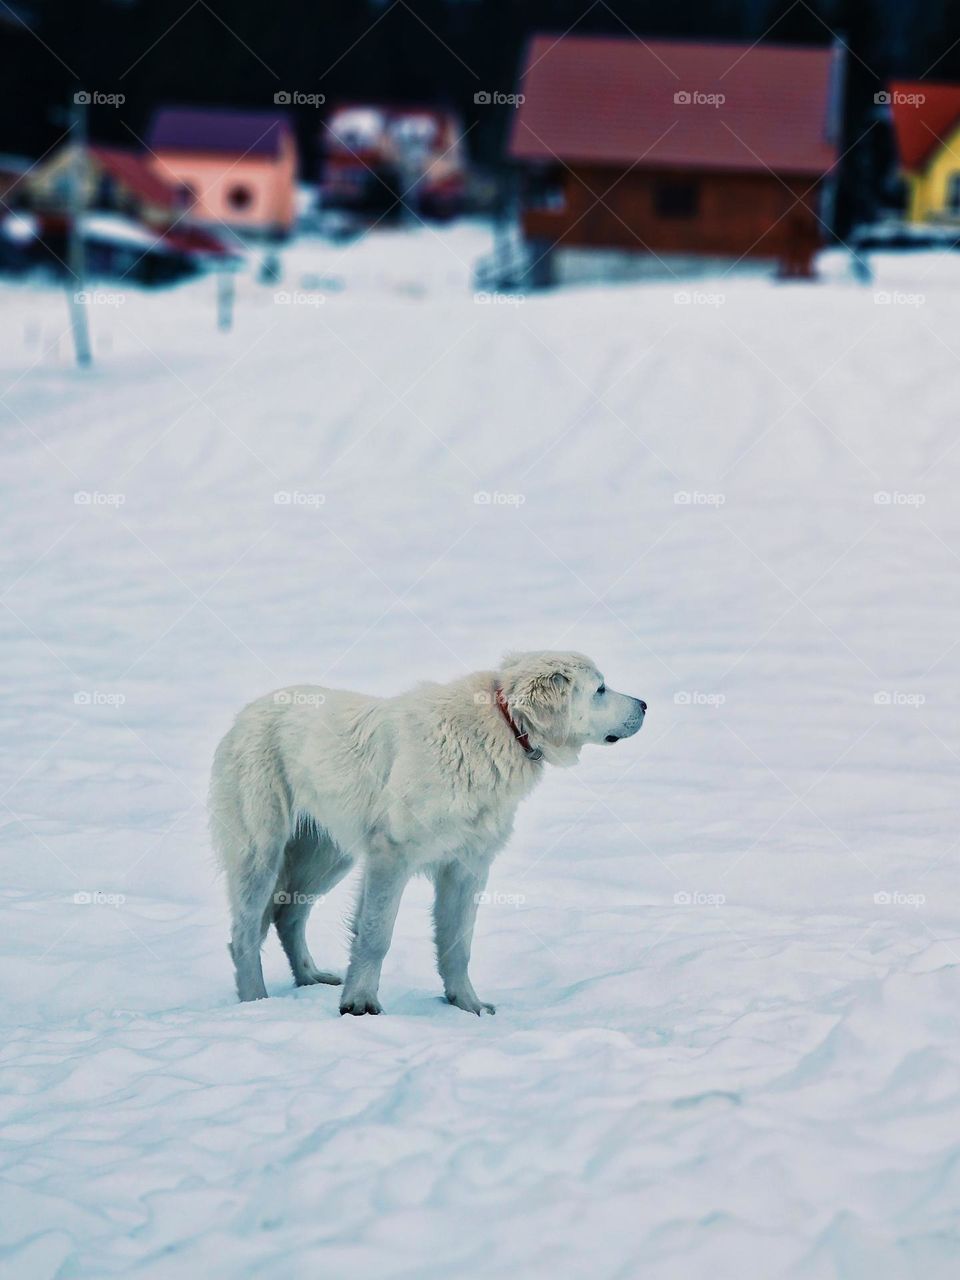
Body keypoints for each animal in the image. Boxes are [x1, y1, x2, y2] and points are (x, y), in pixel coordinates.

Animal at [209, 655, 647, 1013]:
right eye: (600, 689)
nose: (644, 705)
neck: (503, 726)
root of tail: (246, 713)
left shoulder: (467, 868)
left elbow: (457, 945)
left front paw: (466, 1006)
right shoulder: (392, 856)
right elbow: (375, 936)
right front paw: (359, 1004)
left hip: (327, 857)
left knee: (289, 915)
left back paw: (309, 978)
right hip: (261, 853)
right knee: (245, 934)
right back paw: (256, 1003)